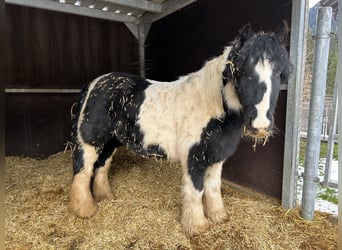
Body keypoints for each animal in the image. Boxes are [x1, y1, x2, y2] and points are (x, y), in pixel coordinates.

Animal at [71, 22, 290, 235]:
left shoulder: (216, 157)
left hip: (111, 141)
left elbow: (213, 187)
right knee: (83, 170)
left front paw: (218, 216)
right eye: (242, 71)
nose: (260, 125)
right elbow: (196, 190)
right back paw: (85, 210)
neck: (210, 104)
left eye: (279, 73)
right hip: (90, 141)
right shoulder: (194, 157)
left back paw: (105, 196)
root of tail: (94, 84)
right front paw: (197, 226)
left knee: (102, 165)